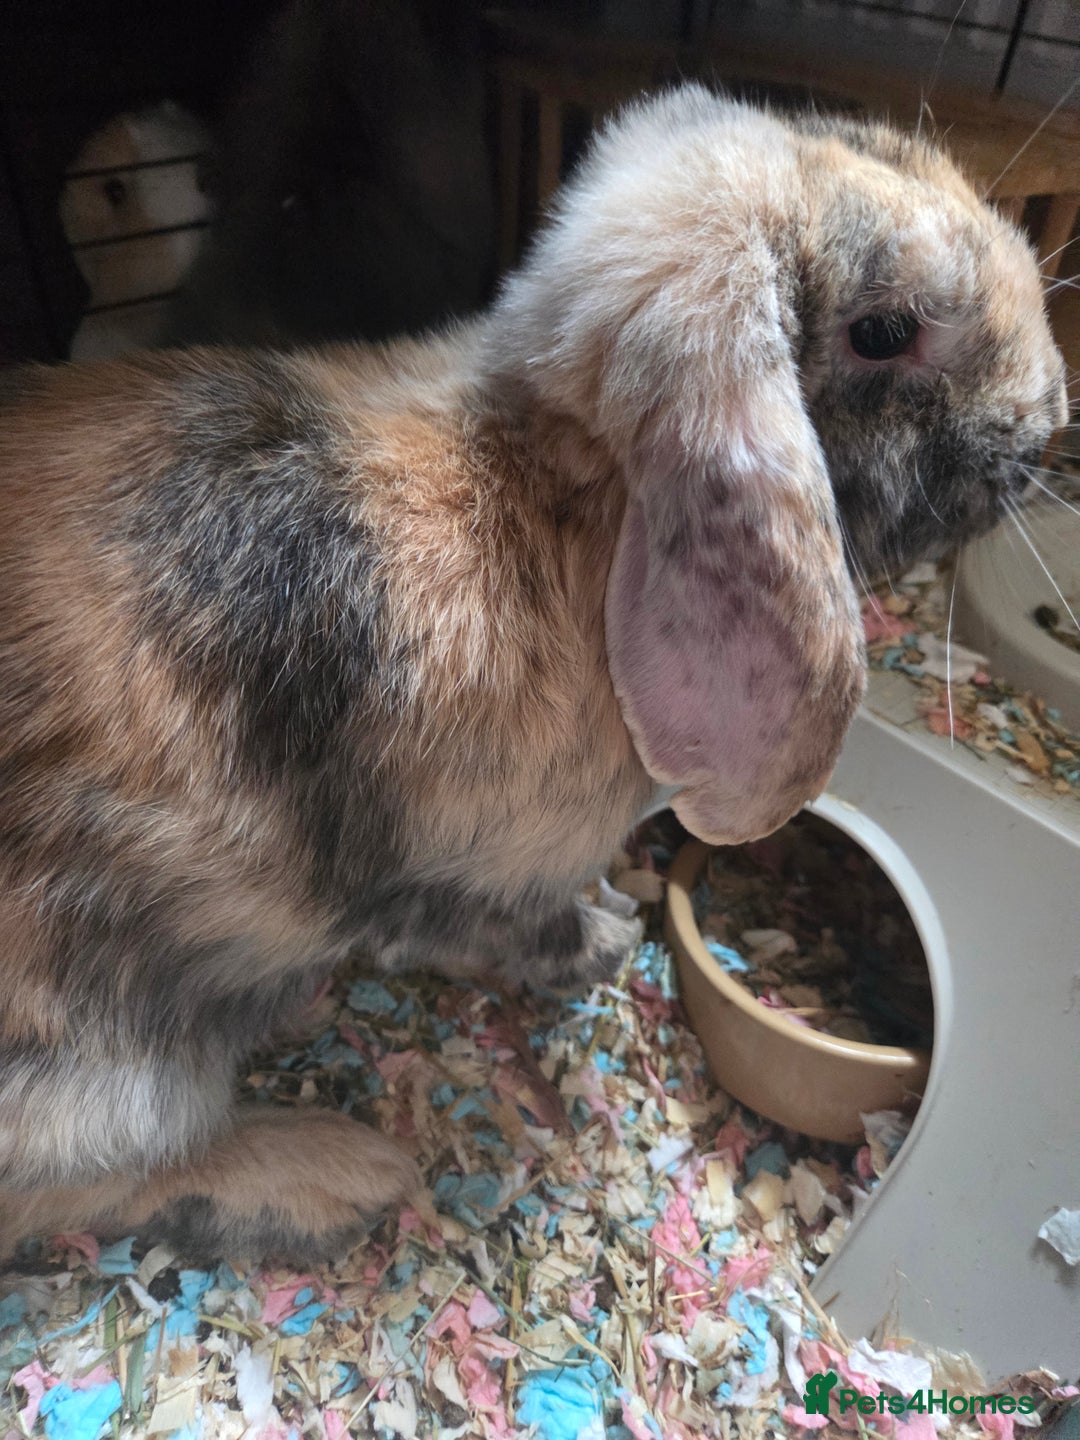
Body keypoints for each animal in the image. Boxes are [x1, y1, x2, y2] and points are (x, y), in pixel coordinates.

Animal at [0, 86, 1065, 1266]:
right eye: (884, 332)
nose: (1046, 424)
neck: (561, 495)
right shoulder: (465, 873)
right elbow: (510, 925)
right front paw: (608, 939)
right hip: (104, 1081)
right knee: (96, 1179)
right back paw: (338, 1172)